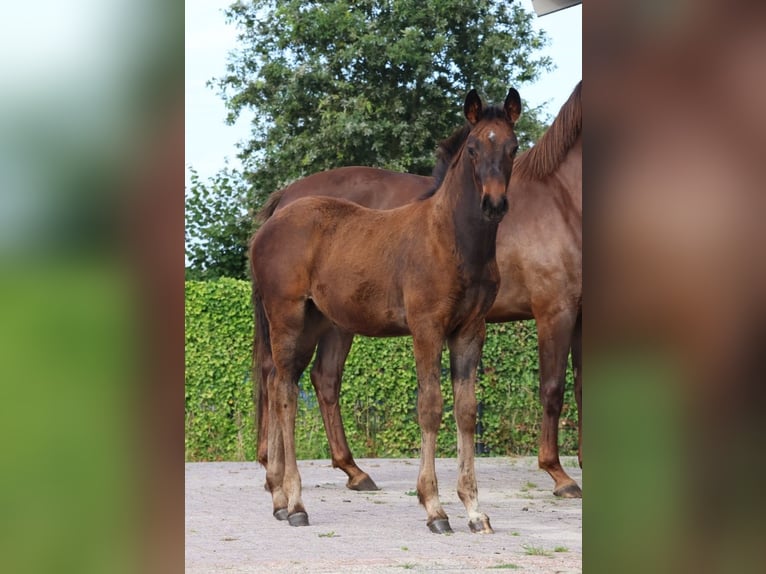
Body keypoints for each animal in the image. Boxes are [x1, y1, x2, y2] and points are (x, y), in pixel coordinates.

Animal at [256, 81, 584, 500]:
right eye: (473, 149)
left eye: (514, 148)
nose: (494, 205)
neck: (562, 200)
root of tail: (284, 201)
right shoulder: (554, 310)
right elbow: (554, 389)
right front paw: (559, 474)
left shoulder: (578, 315)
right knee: (288, 378)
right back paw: (282, 475)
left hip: (327, 320)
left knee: (312, 379)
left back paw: (345, 471)